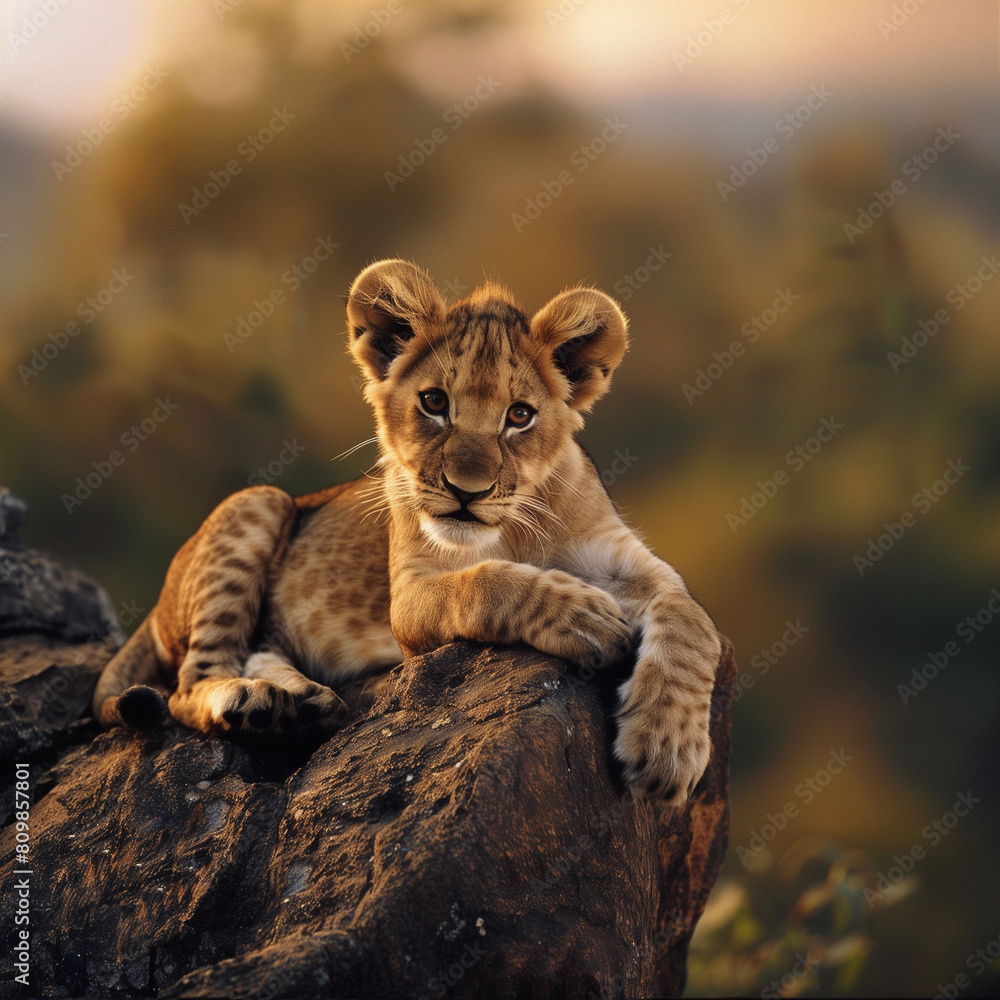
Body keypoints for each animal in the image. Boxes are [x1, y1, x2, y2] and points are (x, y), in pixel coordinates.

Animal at [93, 259, 721, 803]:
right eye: (434, 402)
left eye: (519, 416)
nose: (467, 491)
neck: (517, 529)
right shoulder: (412, 597)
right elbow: (486, 583)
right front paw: (582, 617)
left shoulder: (632, 563)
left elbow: (694, 622)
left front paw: (667, 749)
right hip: (259, 500)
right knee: (190, 684)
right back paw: (253, 702)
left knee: (260, 648)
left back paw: (301, 704)